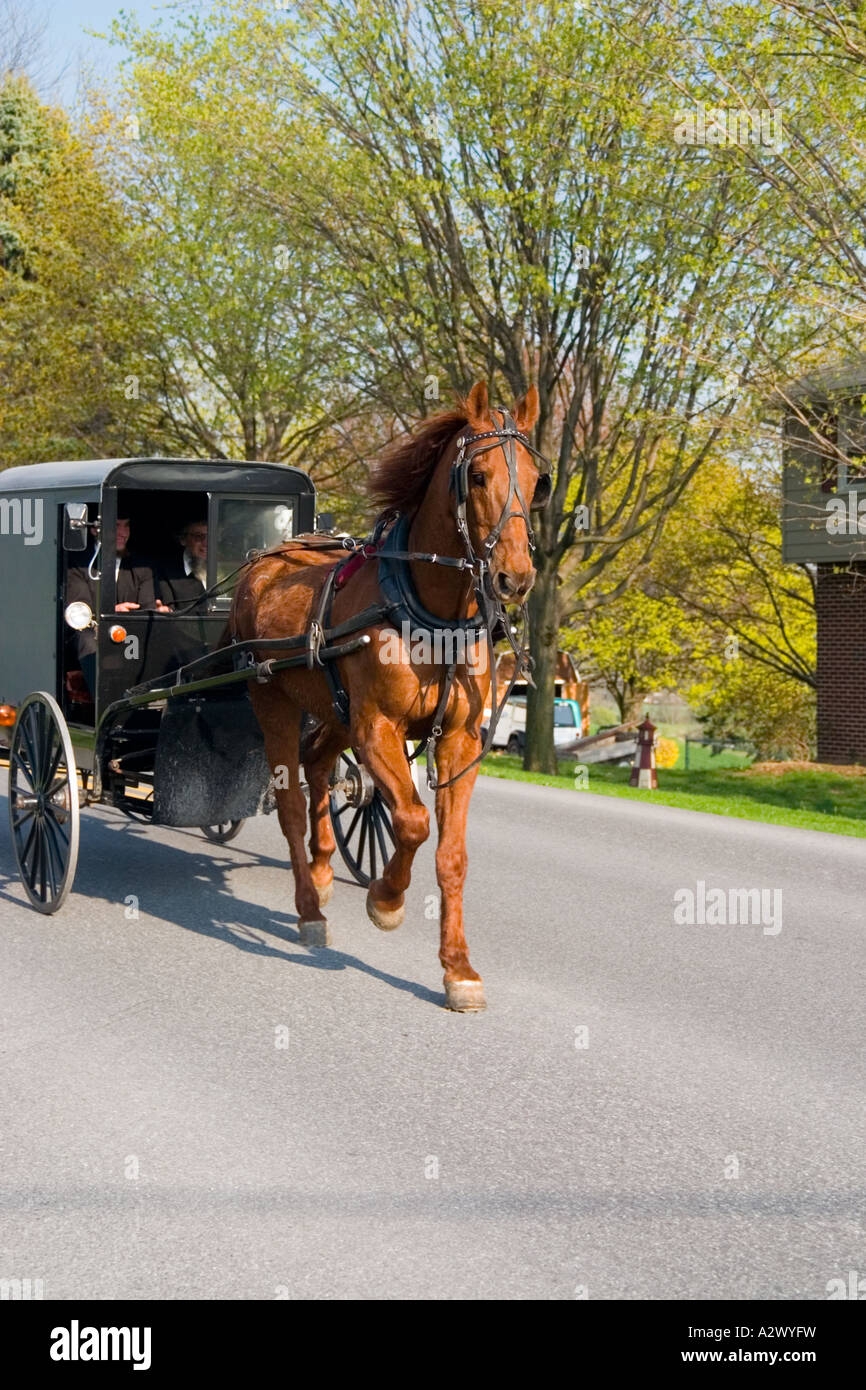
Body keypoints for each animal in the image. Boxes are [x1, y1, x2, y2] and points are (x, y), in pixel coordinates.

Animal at [230, 380, 542, 1011]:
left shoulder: (458, 742)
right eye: (478, 475)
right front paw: (386, 900)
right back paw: (308, 907)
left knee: (318, 765)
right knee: (293, 801)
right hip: (274, 702)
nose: (515, 577)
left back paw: (324, 870)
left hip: (333, 709)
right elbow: (414, 822)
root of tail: (263, 561)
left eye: (537, 480)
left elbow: (451, 855)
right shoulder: (377, 729)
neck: (431, 612)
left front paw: (457, 968)